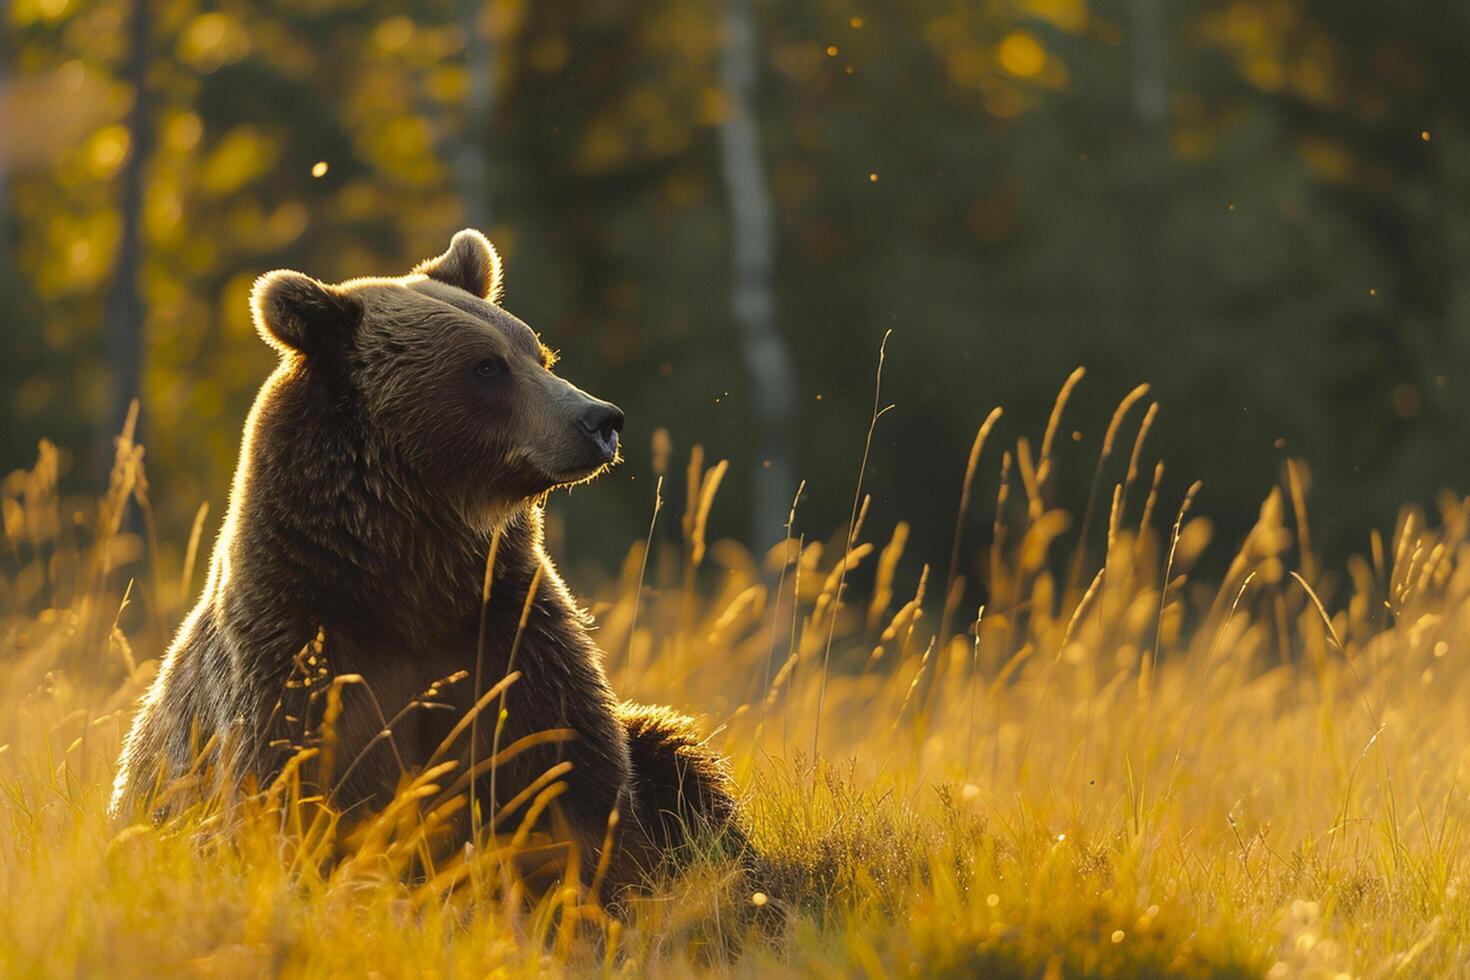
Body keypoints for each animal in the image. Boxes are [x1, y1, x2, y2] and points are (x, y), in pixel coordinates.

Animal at [111, 230, 746, 899]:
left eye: (538, 355)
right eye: (487, 367)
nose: (601, 420)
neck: (413, 572)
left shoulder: (505, 626)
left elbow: (570, 773)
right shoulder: (300, 649)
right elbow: (296, 794)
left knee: (671, 749)